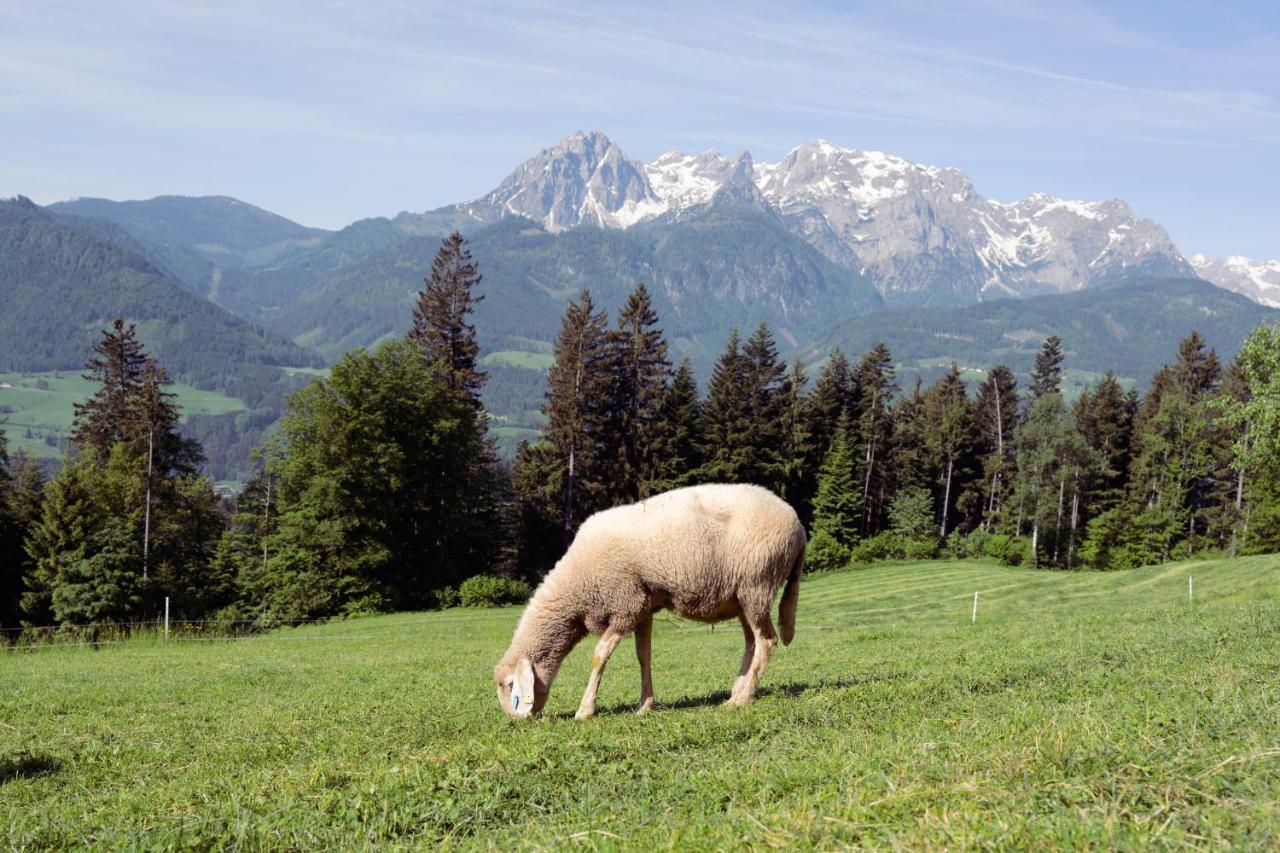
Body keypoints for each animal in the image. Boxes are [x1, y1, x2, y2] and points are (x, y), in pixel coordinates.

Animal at [488, 481, 798, 712]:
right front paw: (645, 705)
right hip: (742, 596)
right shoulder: (643, 607)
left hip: (757, 585)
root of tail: (798, 525)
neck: (577, 586)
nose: (515, 720)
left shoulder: (626, 606)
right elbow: (643, 655)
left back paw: (742, 698)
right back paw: (738, 690)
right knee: (751, 642)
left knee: (767, 641)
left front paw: (585, 709)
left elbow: (599, 656)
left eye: (509, 685)